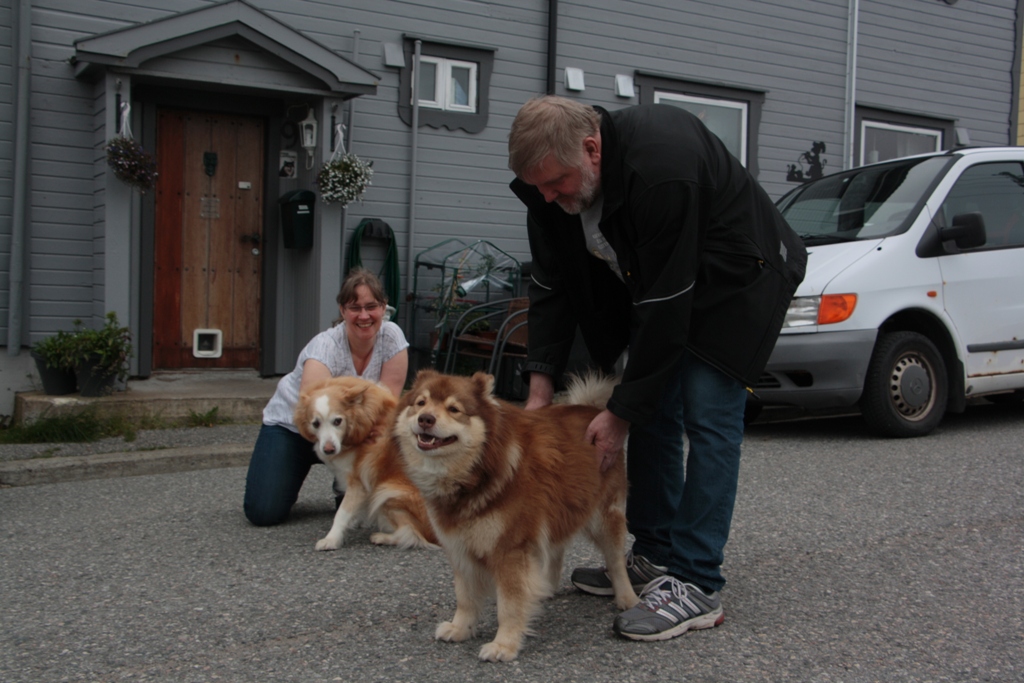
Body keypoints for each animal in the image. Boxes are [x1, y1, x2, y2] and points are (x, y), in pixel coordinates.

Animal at [296, 376, 440, 552]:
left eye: (337, 421)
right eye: (315, 423)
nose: (329, 450)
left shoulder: (358, 481)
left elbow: (342, 513)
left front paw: (331, 539)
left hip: (388, 492)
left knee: (414, 536)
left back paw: (383, 537)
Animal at [393, 368, 638, 663]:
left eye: (454, 409)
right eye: (420, 403)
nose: (425, 419)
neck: (477, 470)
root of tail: (591, 409)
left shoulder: (509, 550)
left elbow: (509, 606)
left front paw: (504, 645)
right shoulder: (460, 548)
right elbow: (465, 596)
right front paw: (460, 628)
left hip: (605, 518)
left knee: (615, 561)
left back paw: (627, 599)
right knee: (556, 550)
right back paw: (547, 587)